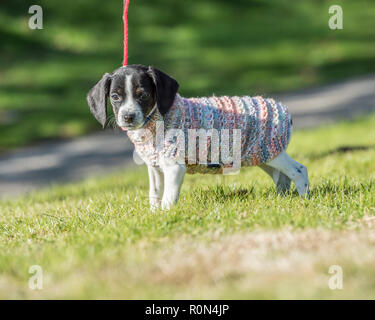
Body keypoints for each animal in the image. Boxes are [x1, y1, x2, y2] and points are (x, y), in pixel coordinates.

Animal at [87, 65, 308, 210]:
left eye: (143, 95)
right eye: (115, 97)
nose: (128, 116)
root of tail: (284, 111)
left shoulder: (174, 167)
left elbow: (167, 198)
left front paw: (166, 216)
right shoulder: (155, 168)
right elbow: (155, 194)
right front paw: (154, 216)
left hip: (272, 152)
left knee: (298, 170)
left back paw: (304, 199)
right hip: (261, 156)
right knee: (282, 177)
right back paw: (281, 198)